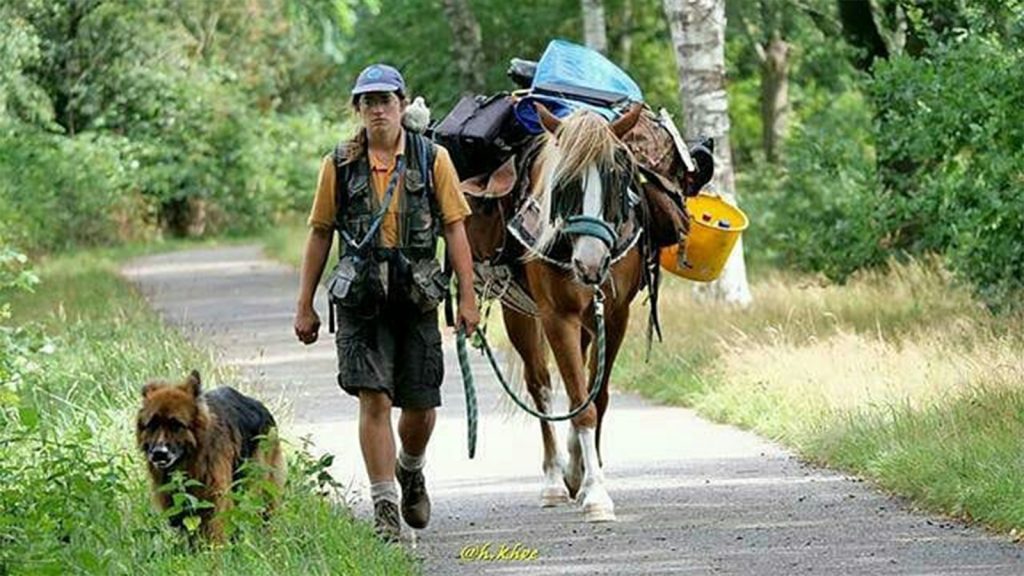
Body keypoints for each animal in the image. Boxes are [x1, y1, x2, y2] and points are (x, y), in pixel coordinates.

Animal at [136, 368, 286, 541]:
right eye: (152, 425)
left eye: (176, 425)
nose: (159, 454)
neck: (192, 460)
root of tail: (260, 406)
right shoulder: (174, 500)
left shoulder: (215, 497)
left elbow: (216, 529)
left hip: (258, 483)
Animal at [487, 103, 688, 520]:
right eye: (563, 184)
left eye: (619, 178)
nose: (591, 264)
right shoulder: (556, 316)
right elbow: (580, 406)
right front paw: (595, 494)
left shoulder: (613, 315)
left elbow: (595, 397)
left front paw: (585, 476)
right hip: (519, 314)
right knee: (540, 385)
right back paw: (552, 480)